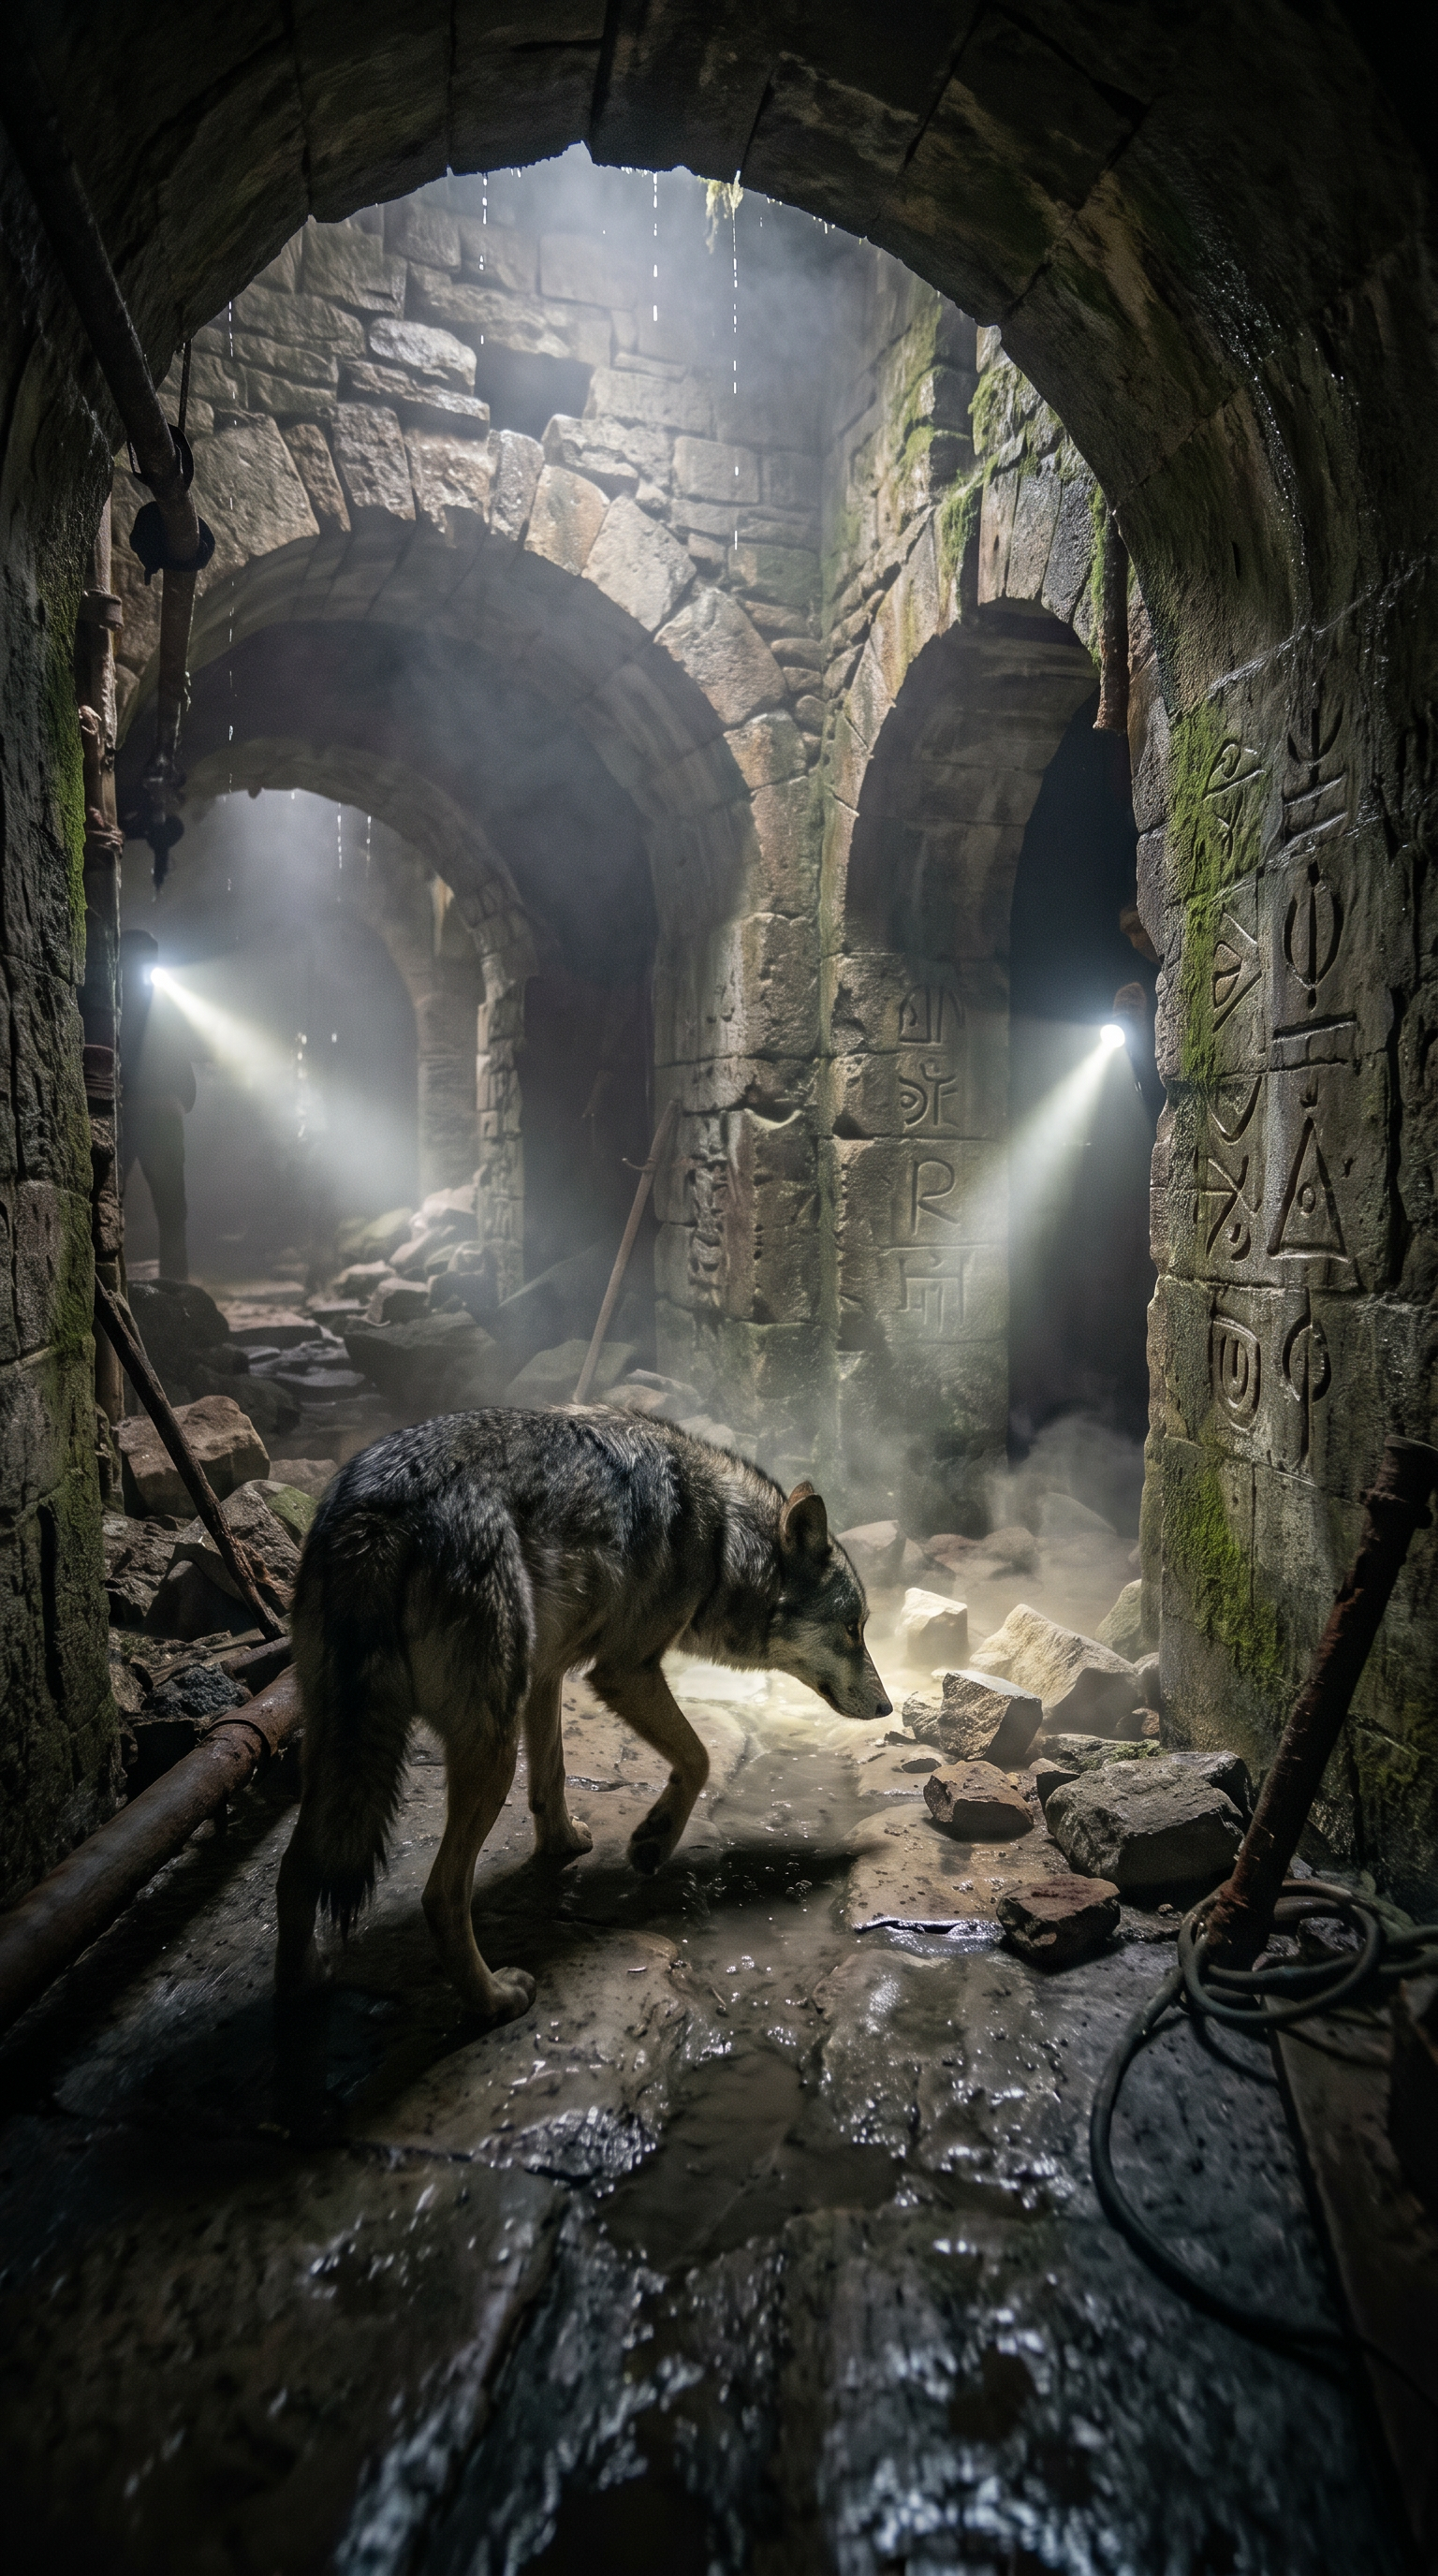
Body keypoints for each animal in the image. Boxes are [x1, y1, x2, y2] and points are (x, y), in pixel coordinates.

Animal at [275, 1407, 891, 2021]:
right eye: (851, 1629)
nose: (888, 1707)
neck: (721, 1538)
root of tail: (379, 1509)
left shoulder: (547, 1673)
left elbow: (552, 1774)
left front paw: (564, 1845)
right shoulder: (624, 1671)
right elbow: (698, 1758)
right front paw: (653, 1841)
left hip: (344, 1753)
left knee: (294, 1871)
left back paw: (304, 1985)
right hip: (490, 1751)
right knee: (440, 1896)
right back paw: (495, 1999)